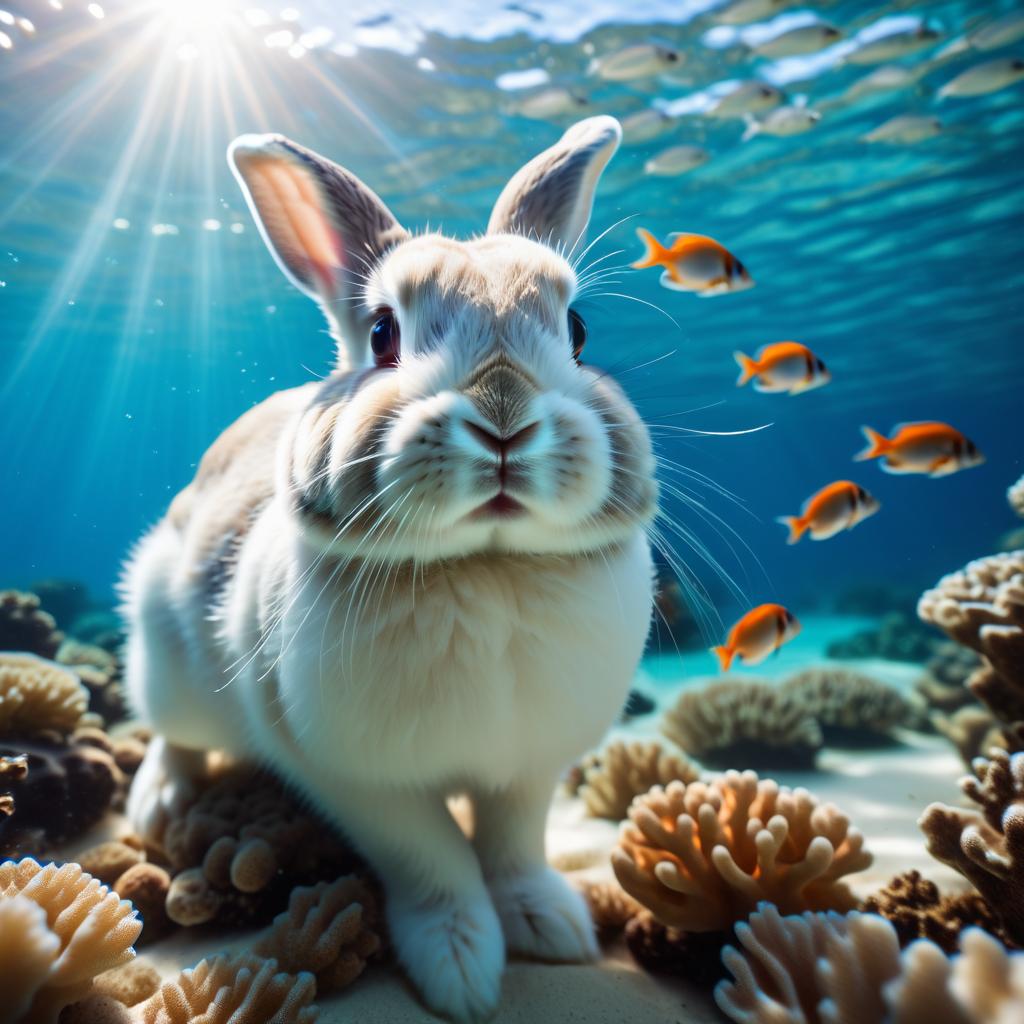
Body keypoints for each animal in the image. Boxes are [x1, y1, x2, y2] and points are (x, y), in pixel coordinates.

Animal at [125, 114, 655, 1024]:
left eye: (579, 330)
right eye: (382, 334)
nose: (504, 415)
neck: (486, 569)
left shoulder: (532, 767)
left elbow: (513, 845)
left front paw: (550, 926)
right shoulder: (356, 779)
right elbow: (433, 859)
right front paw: (461, 970)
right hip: (167, 663)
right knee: (173, 734)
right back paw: (157, 802)